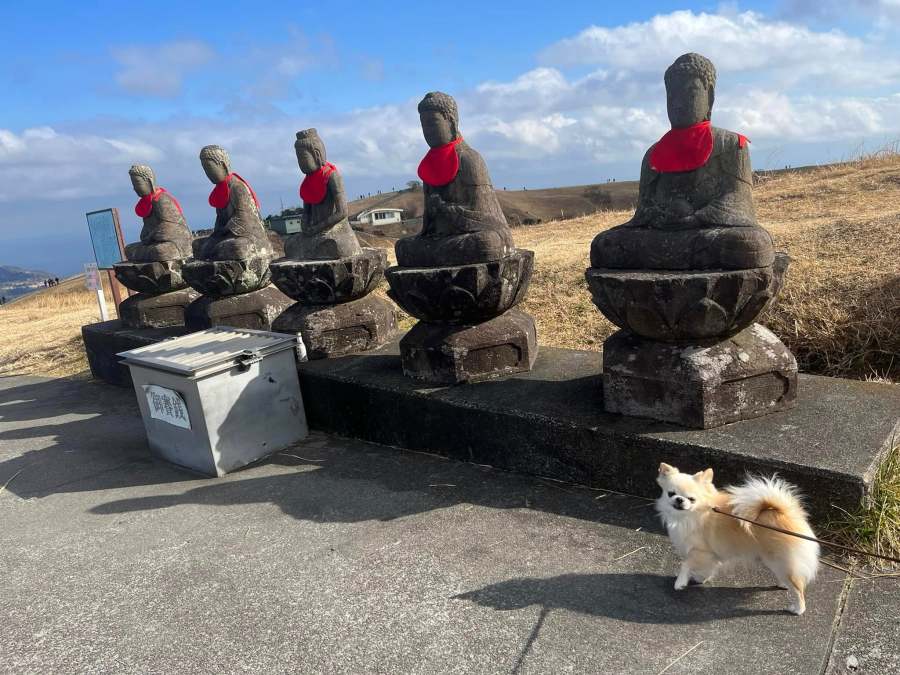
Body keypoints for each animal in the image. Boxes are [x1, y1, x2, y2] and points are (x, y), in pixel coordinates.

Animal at [655, 463, 819, 615]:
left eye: (692, 499)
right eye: (671, 493)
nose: (679, 500)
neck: (693, 513)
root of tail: (788, 513)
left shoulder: (701, 551)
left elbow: (685, 564)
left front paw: (680, 582)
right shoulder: (711, 555)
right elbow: (707, 568)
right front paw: (702, 578)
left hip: (779, 560)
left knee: (798, 589)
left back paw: (798, 609)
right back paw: (783, 584)